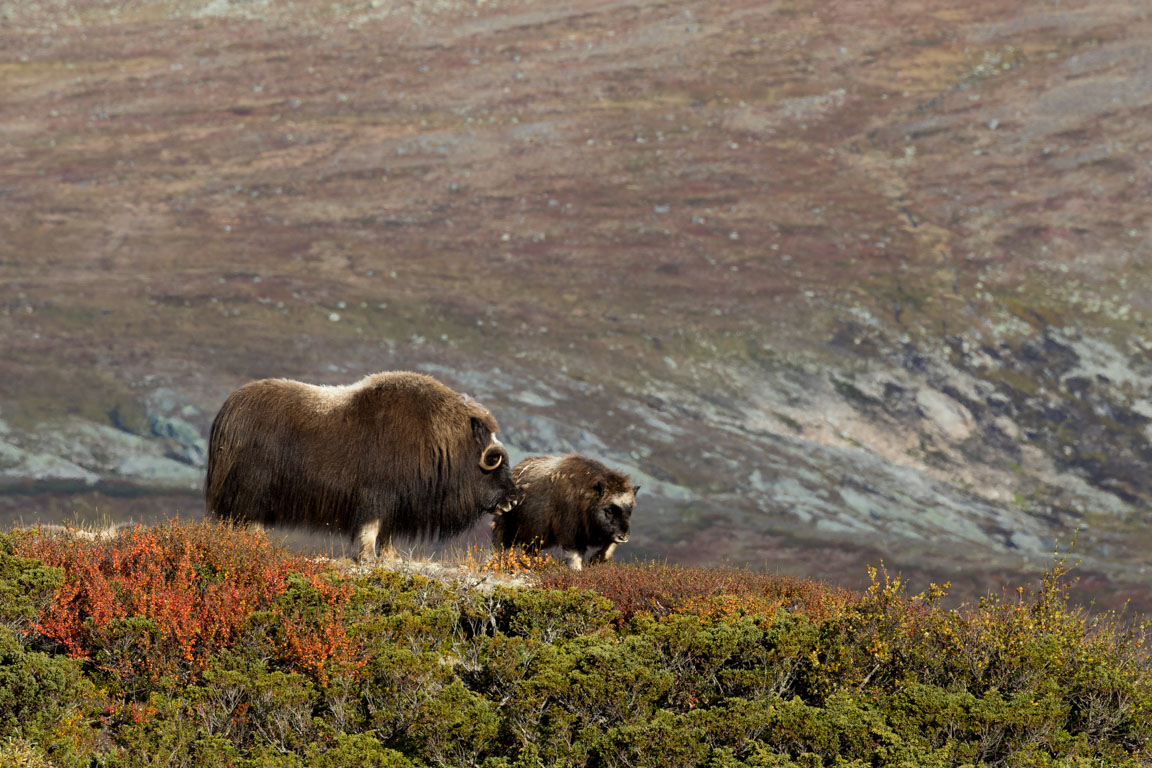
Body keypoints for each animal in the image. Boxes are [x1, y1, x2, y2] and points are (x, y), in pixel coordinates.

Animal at [205, 368, 516, 561]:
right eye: (496, 460)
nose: (512, 500)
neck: (442, 441)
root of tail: (228, 412)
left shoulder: (398, 501)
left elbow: (388, 532)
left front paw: (391, 557)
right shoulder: (377, 495)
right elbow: (371, 527)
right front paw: (367, 557)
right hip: (253, 491)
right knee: (252, 521)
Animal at [493, 451, 645, 571]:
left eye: (630, 510)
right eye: (608, 511)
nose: (623, 537)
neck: (587, 498)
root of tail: (516, 470)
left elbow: (609, 548)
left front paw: (595, 560)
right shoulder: (572, 533)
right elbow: (575, 556)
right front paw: (577, 571)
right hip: (507, 529)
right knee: (500, 545)